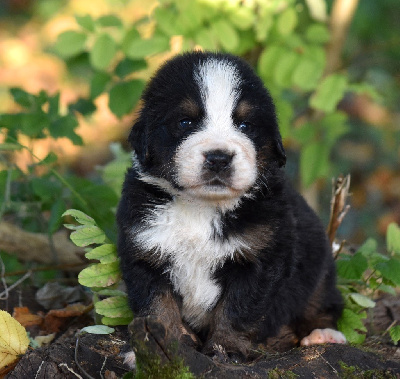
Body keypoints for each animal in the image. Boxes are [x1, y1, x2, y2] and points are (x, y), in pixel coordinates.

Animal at [116, 52, 346, 360]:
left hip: (317, 264)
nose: (218, 158)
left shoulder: (259, 257)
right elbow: (157, 306)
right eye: (185, 122)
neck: (201, 207)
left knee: (322, 303)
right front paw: (156, 347)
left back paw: (323, 334)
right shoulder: (146, 250)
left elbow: (237, 309)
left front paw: (227, 349)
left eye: (245, 125)